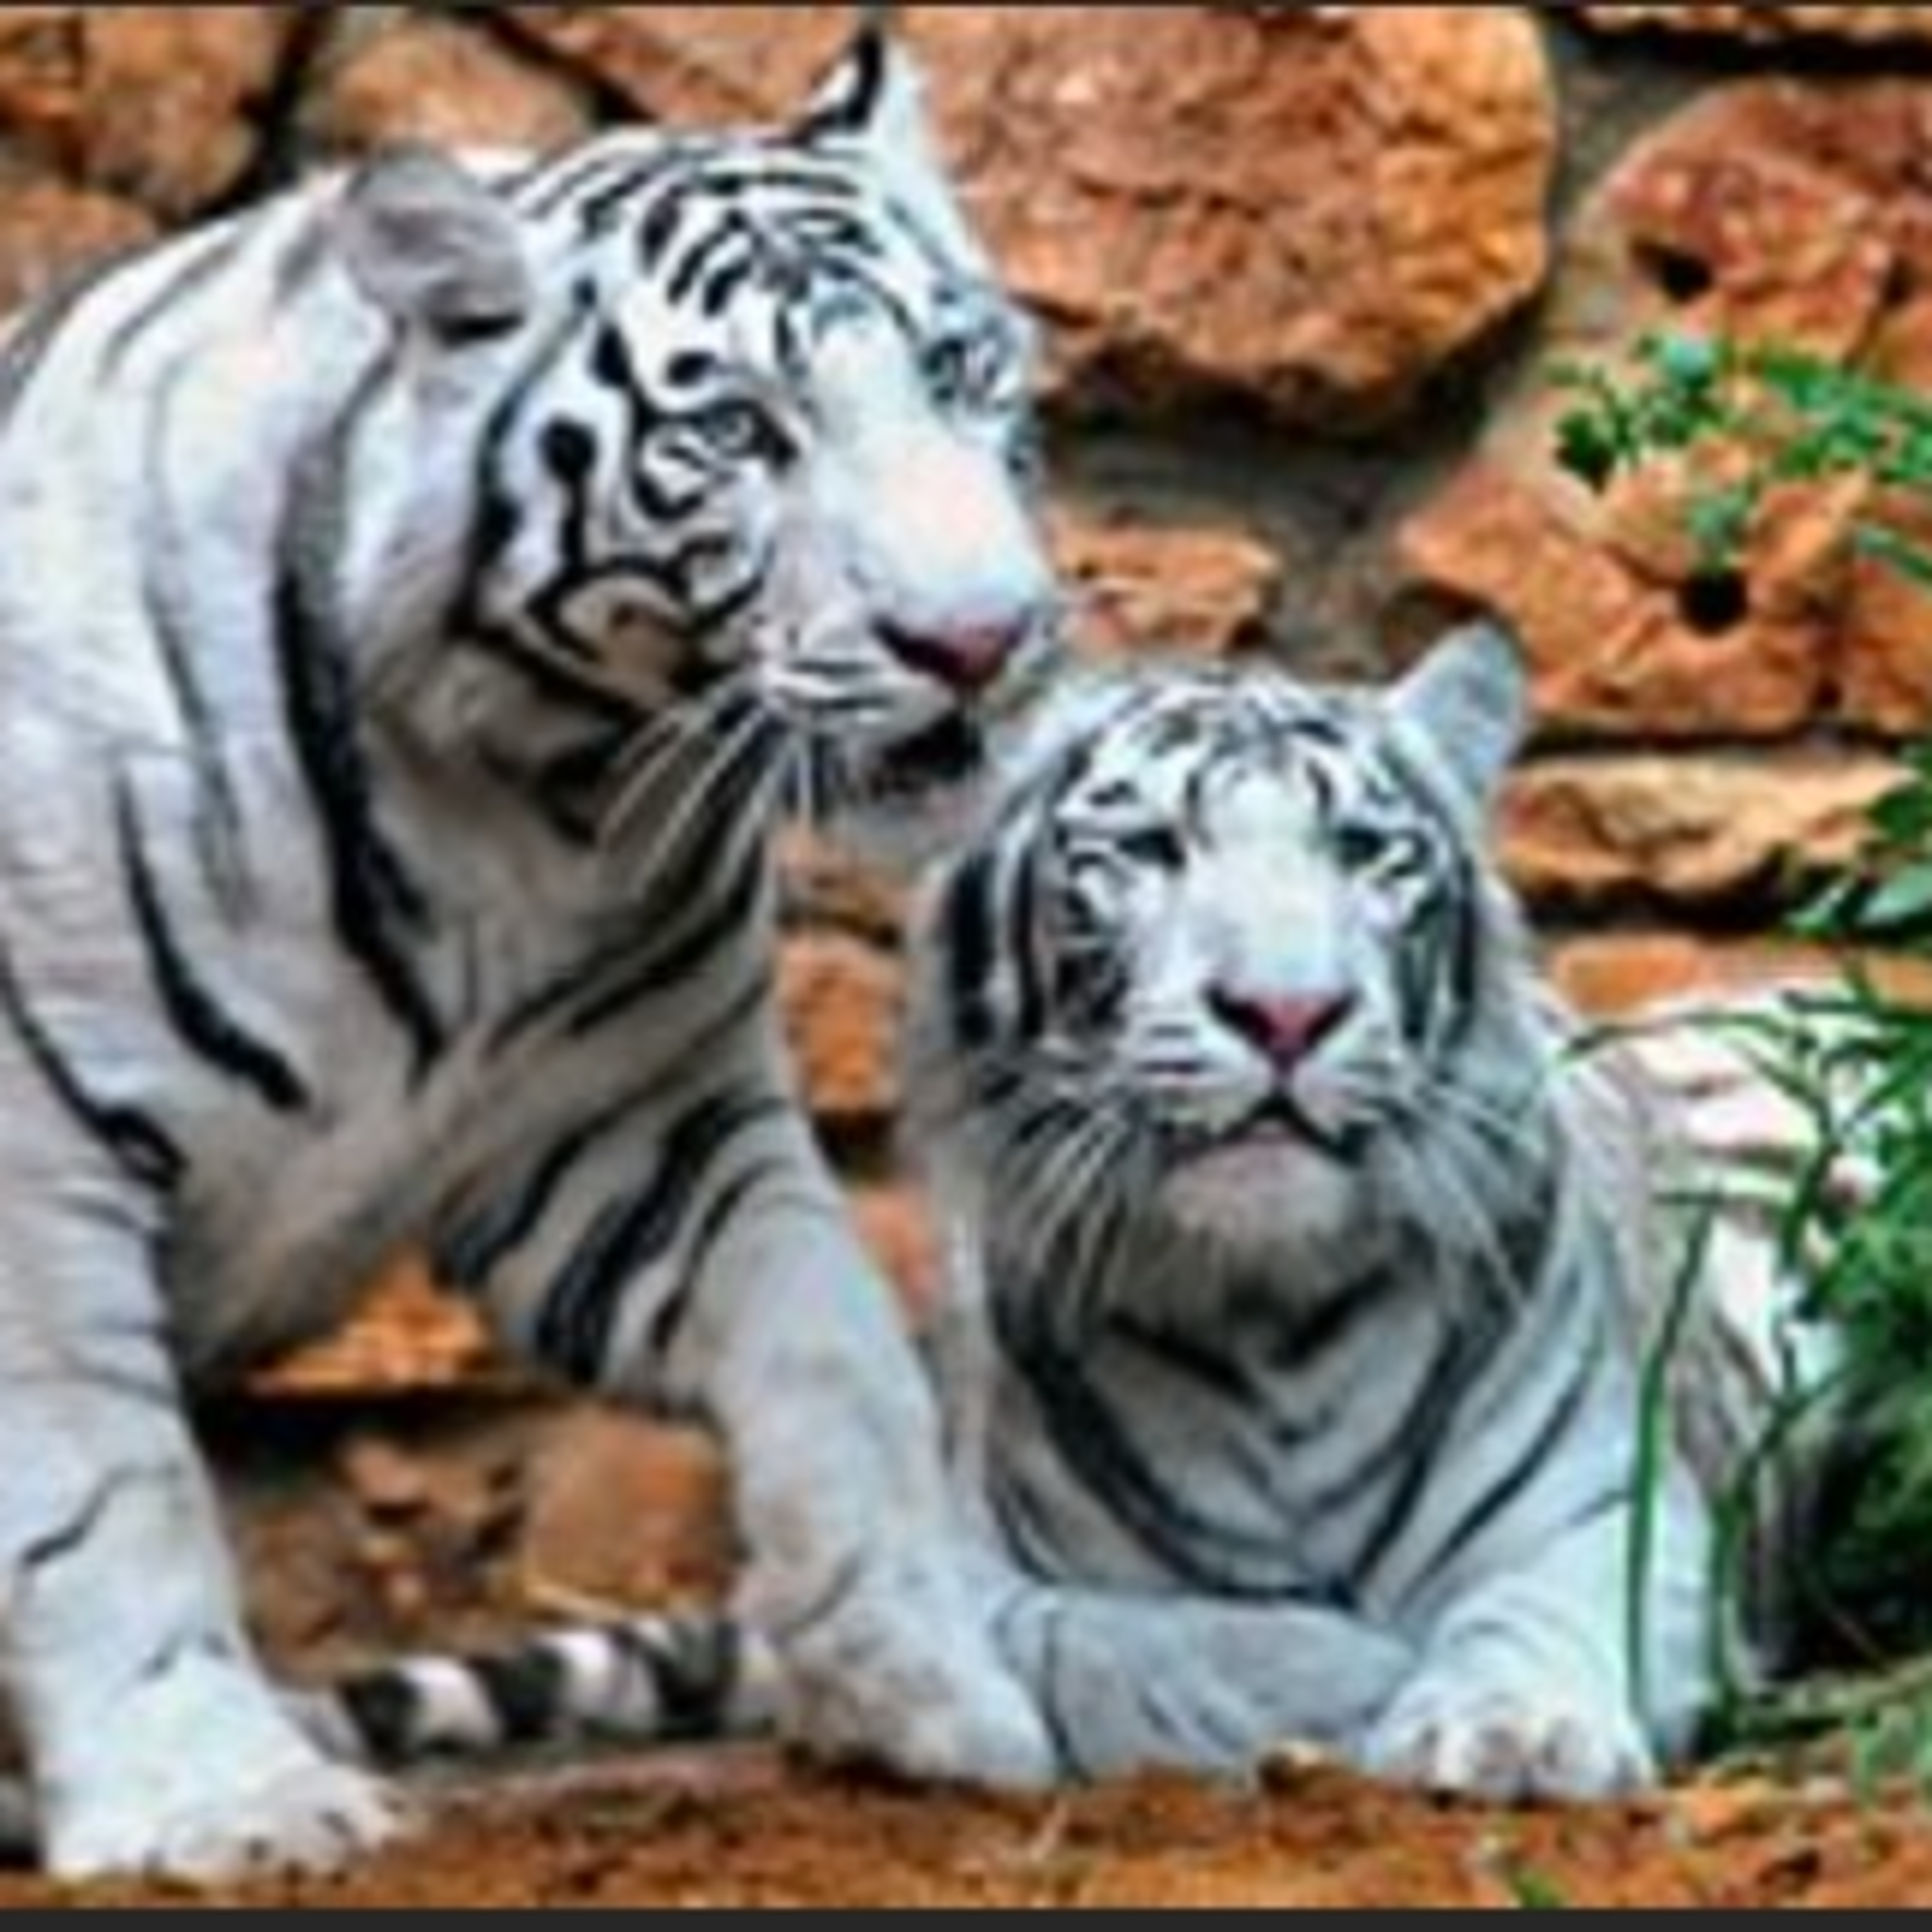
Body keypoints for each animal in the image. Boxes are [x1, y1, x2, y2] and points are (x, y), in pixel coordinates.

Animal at [0, 22, 1064, 1883]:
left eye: (956, 371)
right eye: (741, 429)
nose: (978, 641)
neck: (520, 789)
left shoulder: (634, 1131)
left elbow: (839, 1357)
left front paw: (919, 1683)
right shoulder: (35, 1153)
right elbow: (102, 1486)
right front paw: (220, 1803)